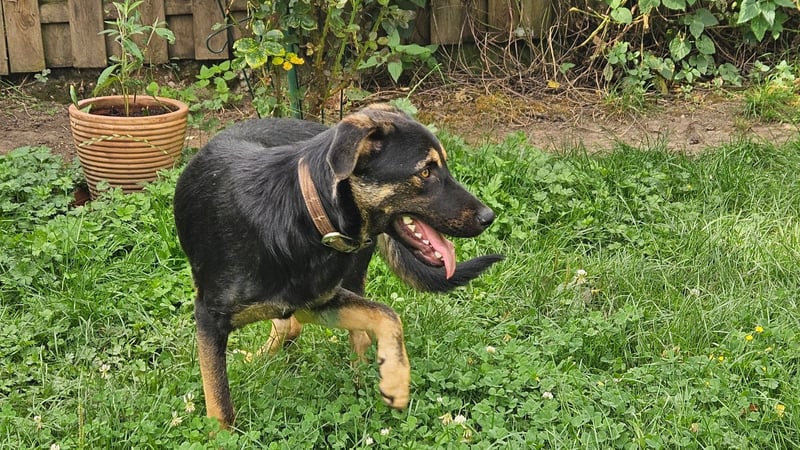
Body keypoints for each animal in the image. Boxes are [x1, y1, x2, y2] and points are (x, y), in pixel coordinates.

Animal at [173, 104, 502, 428]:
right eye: (425, 171)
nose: (489, 217)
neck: (303, 214)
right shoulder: (210, 318)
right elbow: (219, 400)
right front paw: (222, 434)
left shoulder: (320, 302)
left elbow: (388, 315)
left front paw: (395, 380)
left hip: (348, 279)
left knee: (341, 334)